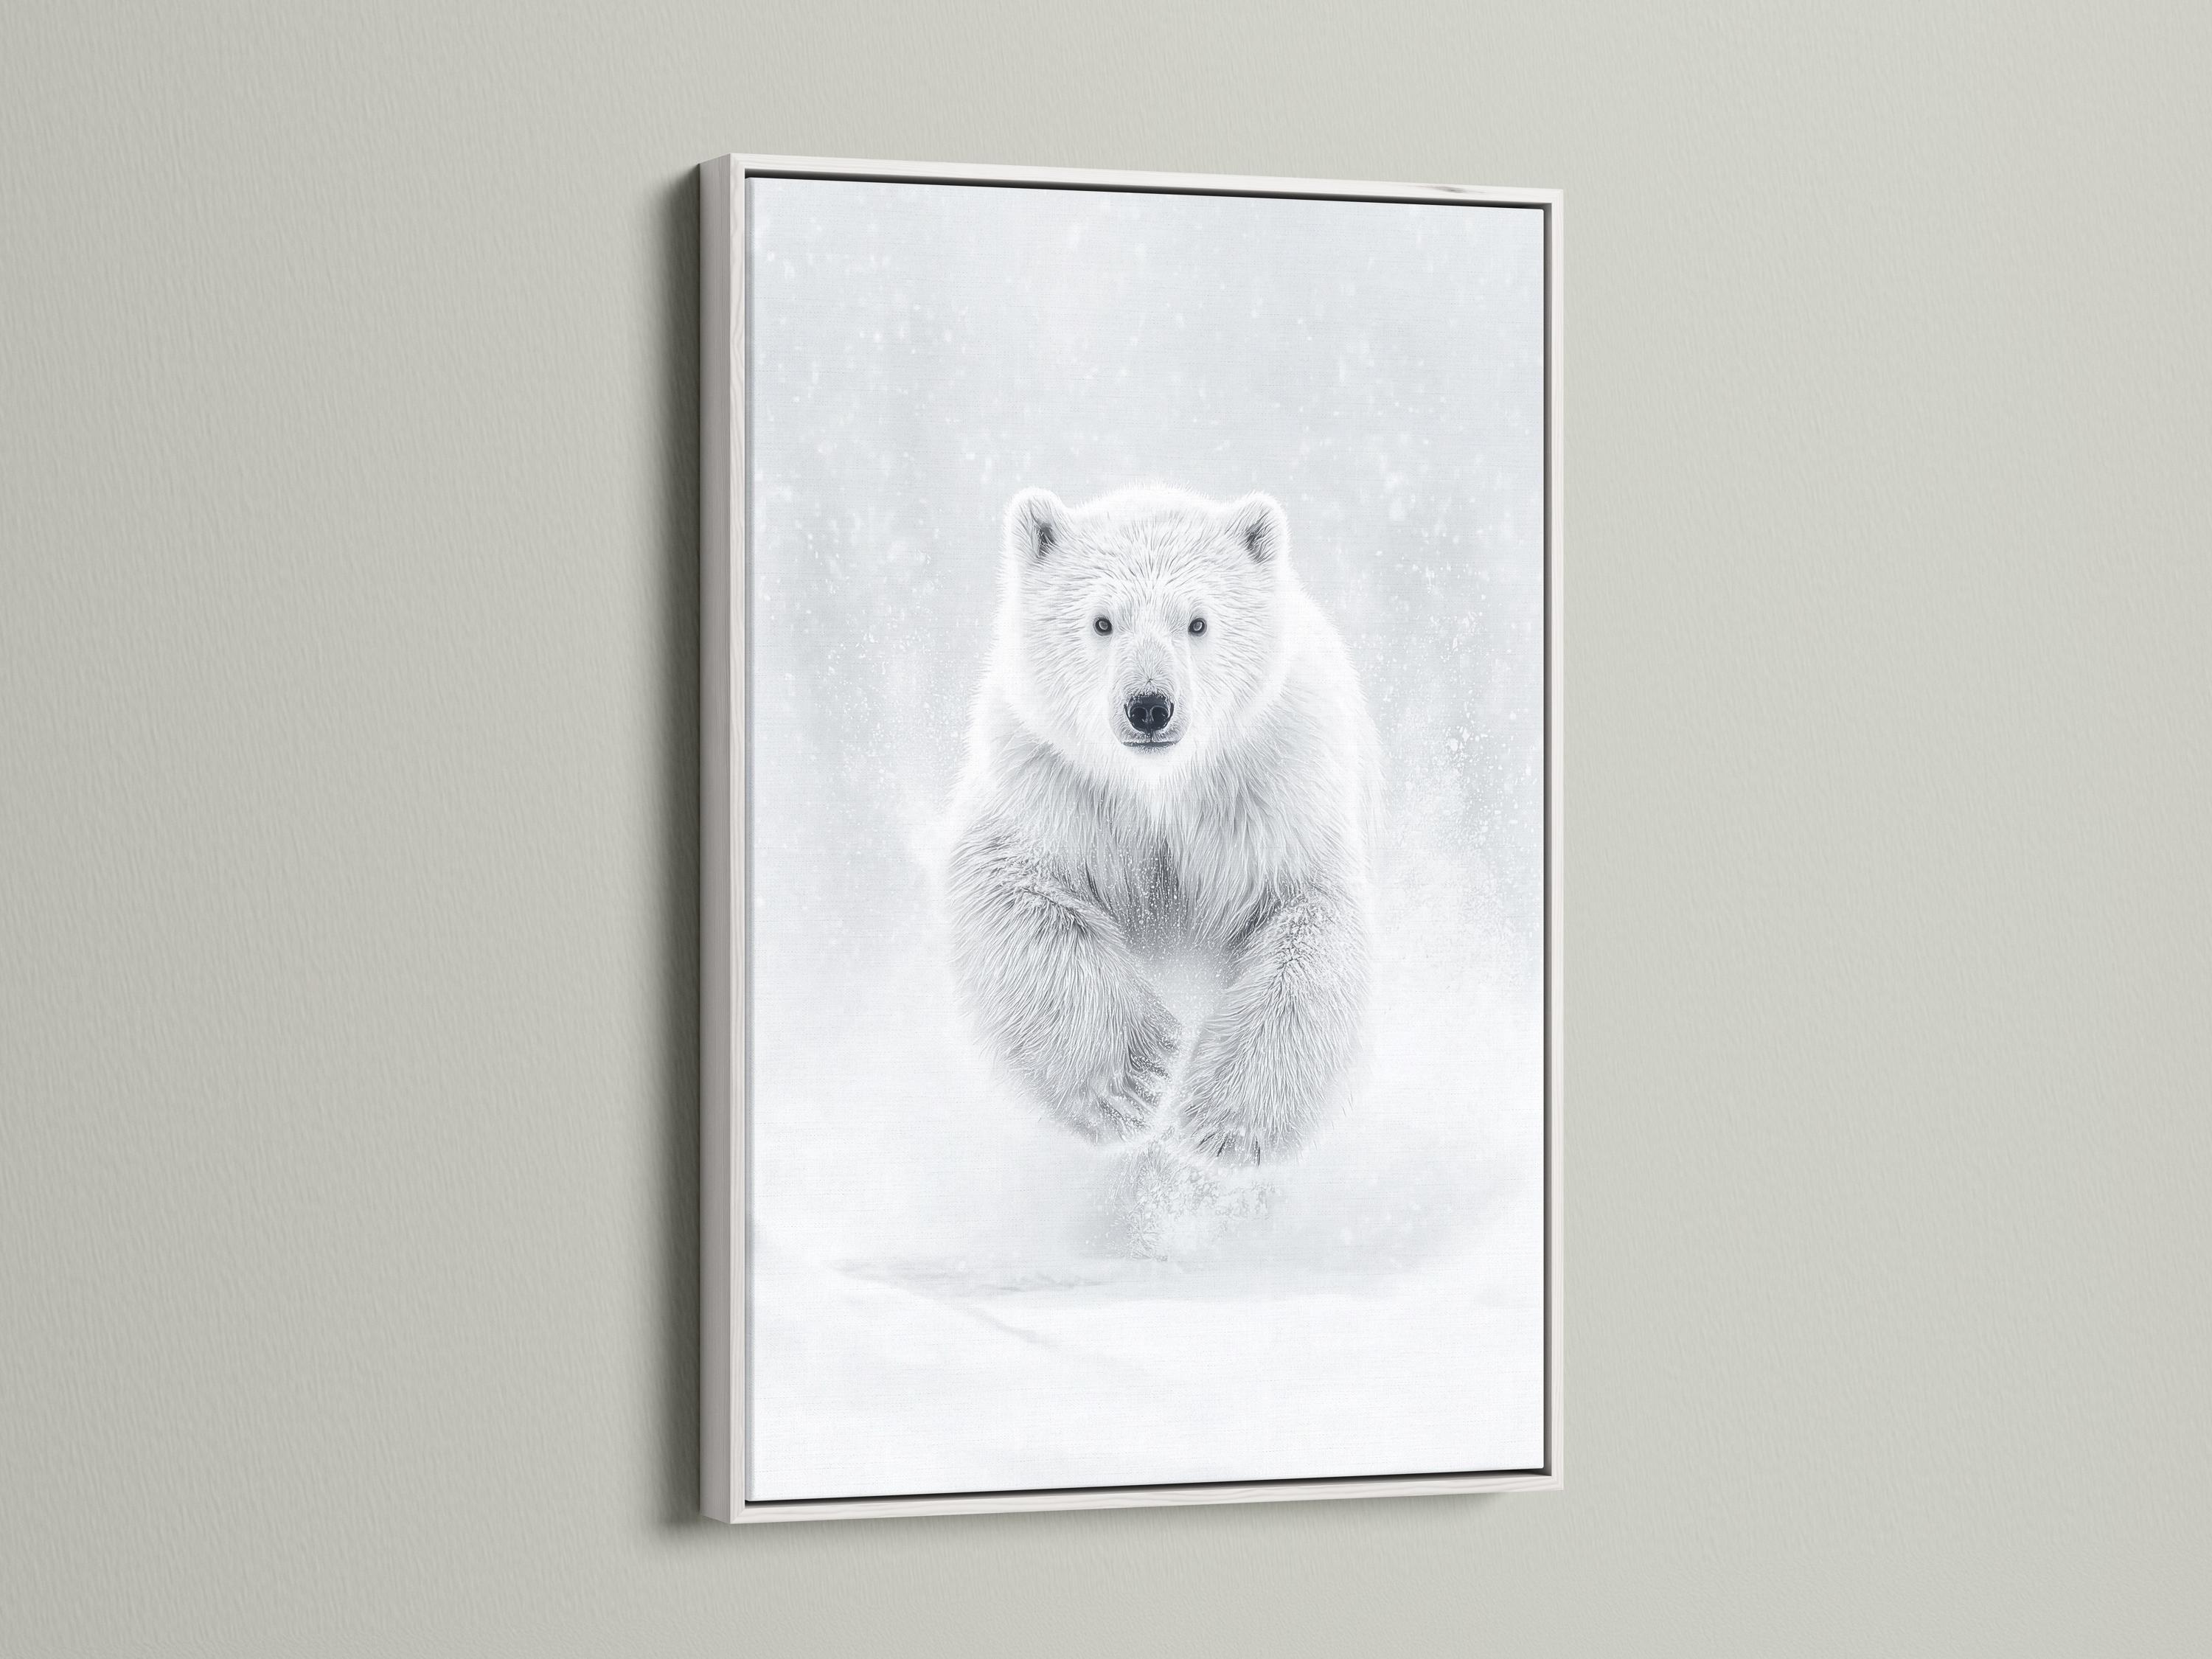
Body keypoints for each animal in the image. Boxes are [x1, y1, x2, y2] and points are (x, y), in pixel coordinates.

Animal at [946, 486, 1378, 1168]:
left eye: (1197, 622)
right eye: (1102, 621)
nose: (1149, 706)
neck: (1159, 789)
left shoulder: (1272, 788)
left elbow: (1309, 921)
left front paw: (1224, 1126)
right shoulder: (1052, 782)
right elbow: (1010, 890)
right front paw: (1135, 1081)